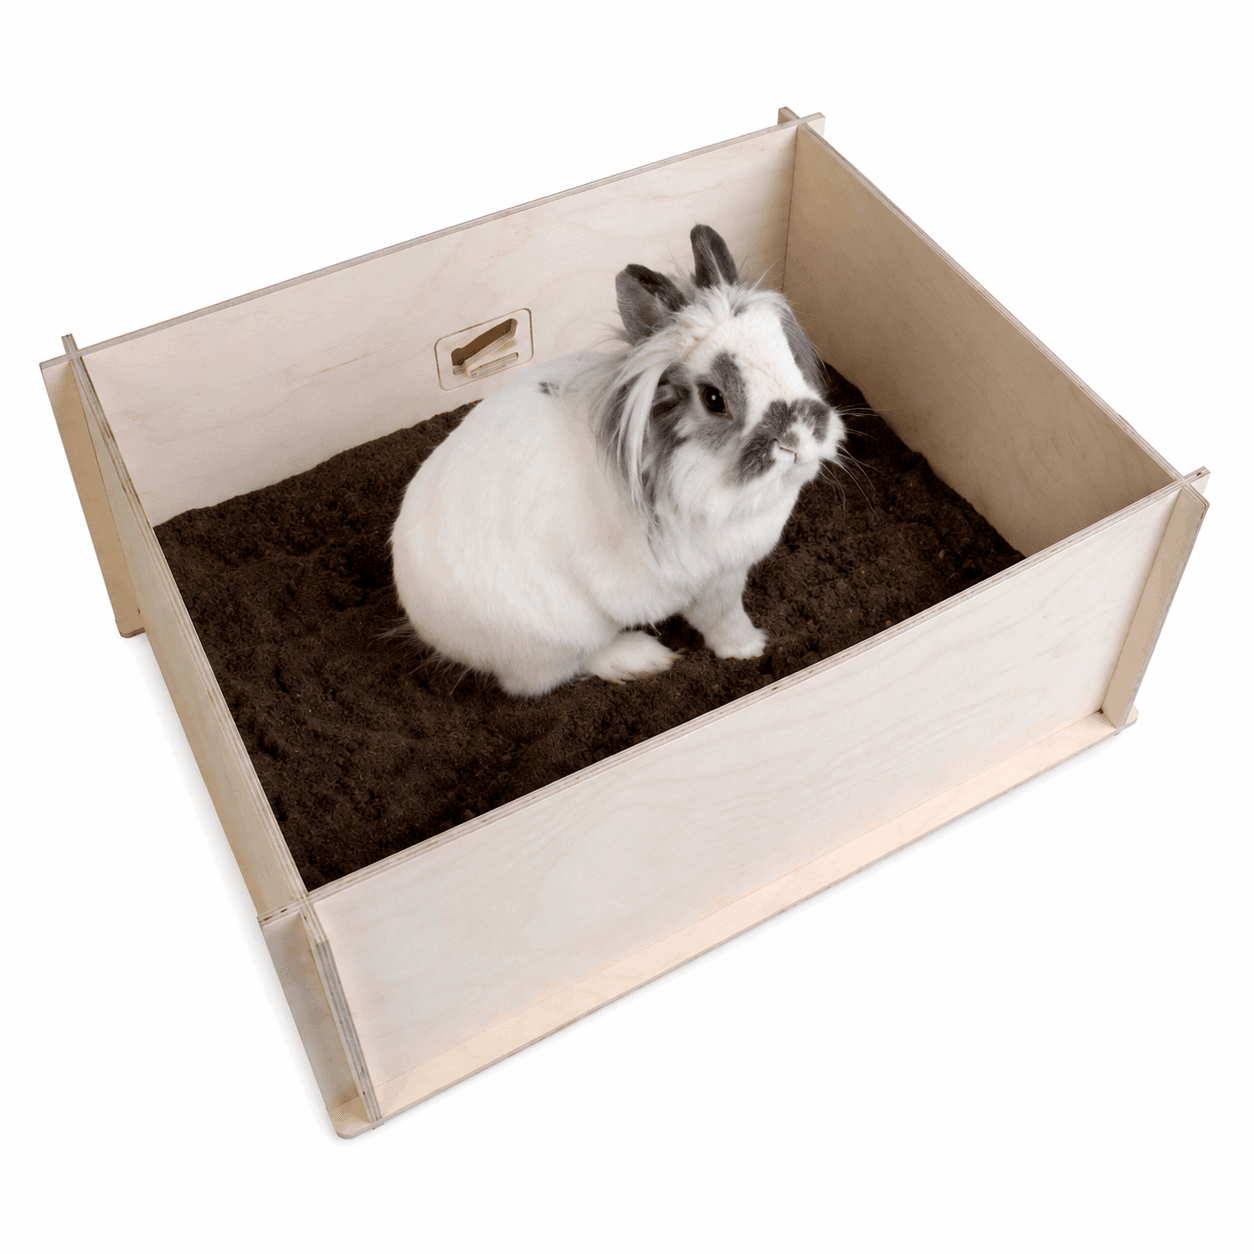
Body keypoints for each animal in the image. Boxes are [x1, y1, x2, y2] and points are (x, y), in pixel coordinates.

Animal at [391, 225, 846, 697]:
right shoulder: (712, 582)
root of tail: (423, 618)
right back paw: (641, 657)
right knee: (551, 675)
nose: (799, 437)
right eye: (713, 399)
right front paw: (750, 648)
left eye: (787, 355)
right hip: (557, 636)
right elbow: (723, 619)